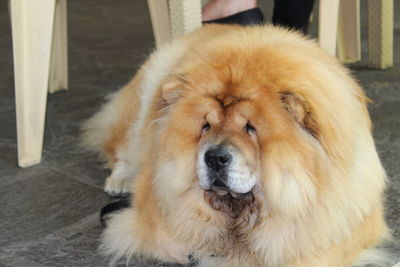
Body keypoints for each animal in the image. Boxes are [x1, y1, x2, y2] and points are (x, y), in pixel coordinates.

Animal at [83, 24, 390, 266]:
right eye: (205, 125)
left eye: (250, 128)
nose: (215, 158)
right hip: (141, 106)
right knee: (122, 148)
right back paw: (120, 180)